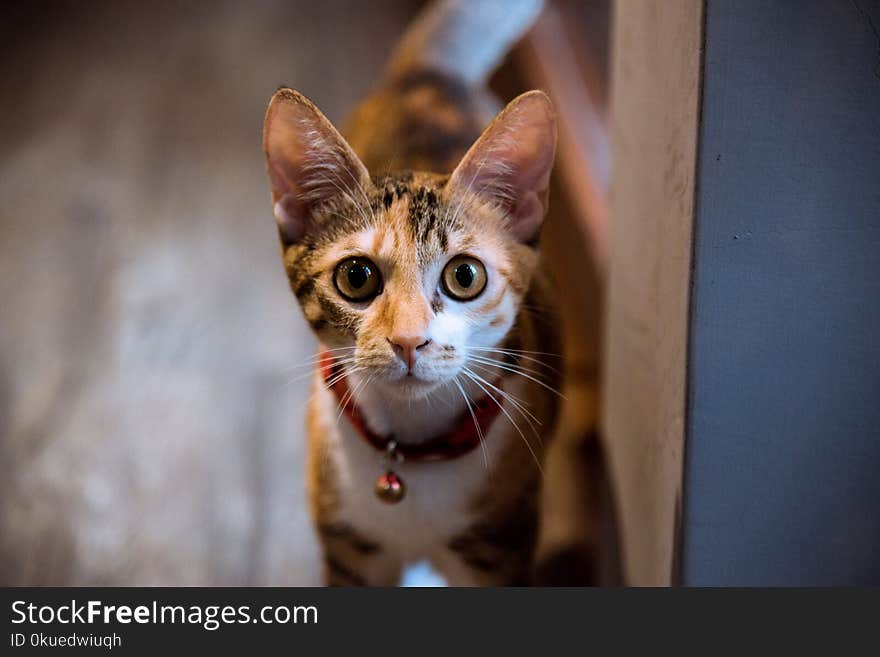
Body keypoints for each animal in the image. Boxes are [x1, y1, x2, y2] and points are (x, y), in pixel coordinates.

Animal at [262, 0, 564, 584]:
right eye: (356, 278)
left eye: (465, 276)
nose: (408, 340)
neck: (411, 454)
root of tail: (428, 76)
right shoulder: (350, 549)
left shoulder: (499, 550)